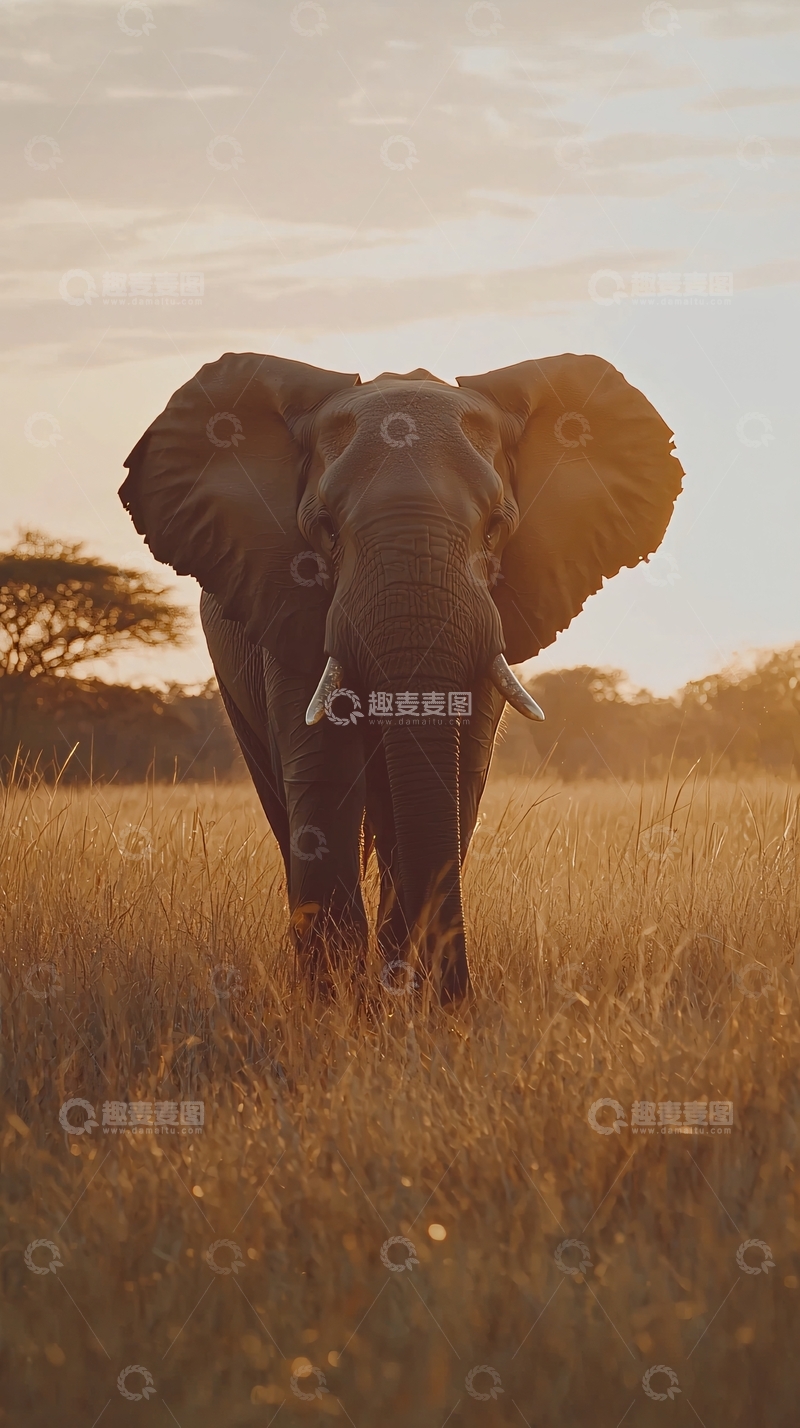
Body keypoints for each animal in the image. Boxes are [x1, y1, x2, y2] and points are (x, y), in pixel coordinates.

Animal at [120, 351, 683, 1001]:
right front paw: (338, 1009)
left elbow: (457, 781)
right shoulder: (288, 606)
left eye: (495, 528)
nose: (459, 1001)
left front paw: (404, 1001)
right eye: (326, 531)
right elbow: (325, 783)